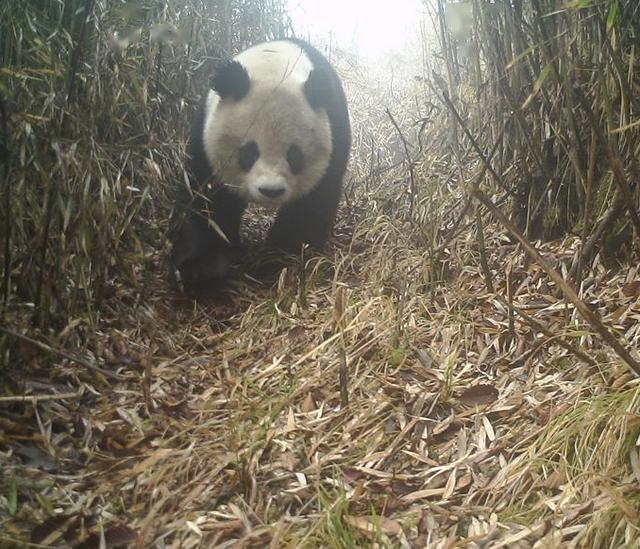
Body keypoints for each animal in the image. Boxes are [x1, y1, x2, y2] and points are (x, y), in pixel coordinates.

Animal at [171, 38, 350, 292]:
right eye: (249, 152)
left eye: (294, 156)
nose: (270, 191)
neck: (274, 64)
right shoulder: (204, 137)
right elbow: (205, 200)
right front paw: (199, 272)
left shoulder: (334, 133)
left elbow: (310, 206)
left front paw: (277, 260)